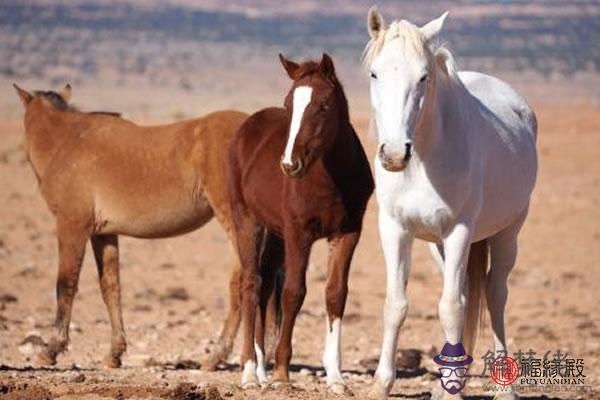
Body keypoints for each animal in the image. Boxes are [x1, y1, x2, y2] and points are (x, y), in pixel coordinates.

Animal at [11, 84, 278, 372]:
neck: (65, 142)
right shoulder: (104, 234)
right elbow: (111, 287)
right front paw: (114, 354)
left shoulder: (72, 226)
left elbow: (65, 285)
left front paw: (51, 350)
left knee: (244, 282)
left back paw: (219, 357)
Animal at [227, 54, 372, 394]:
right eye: (288, 104)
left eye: (323, 105)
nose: (290, 164)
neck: (330, 178)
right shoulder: (299, 233)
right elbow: (294, 292)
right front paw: (282, 372)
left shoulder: (347, 233)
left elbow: (335, 294)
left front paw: (336, 377)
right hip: (248, 221)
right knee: (251, 285)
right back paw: (250, 372)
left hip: (274, 233)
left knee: (266, 287)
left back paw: (261, 371)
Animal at [364, 7, 536, 400]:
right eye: (374, 73)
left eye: (423, 77)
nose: (394, 154)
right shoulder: (394, 229)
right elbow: (395, 305)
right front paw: (381, 384)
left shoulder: (459, 230)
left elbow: (452, 308)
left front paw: (455, 389)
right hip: (438, 247)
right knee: (467, 291)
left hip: (508, 233)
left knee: (494, 294)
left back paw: (503, 387)